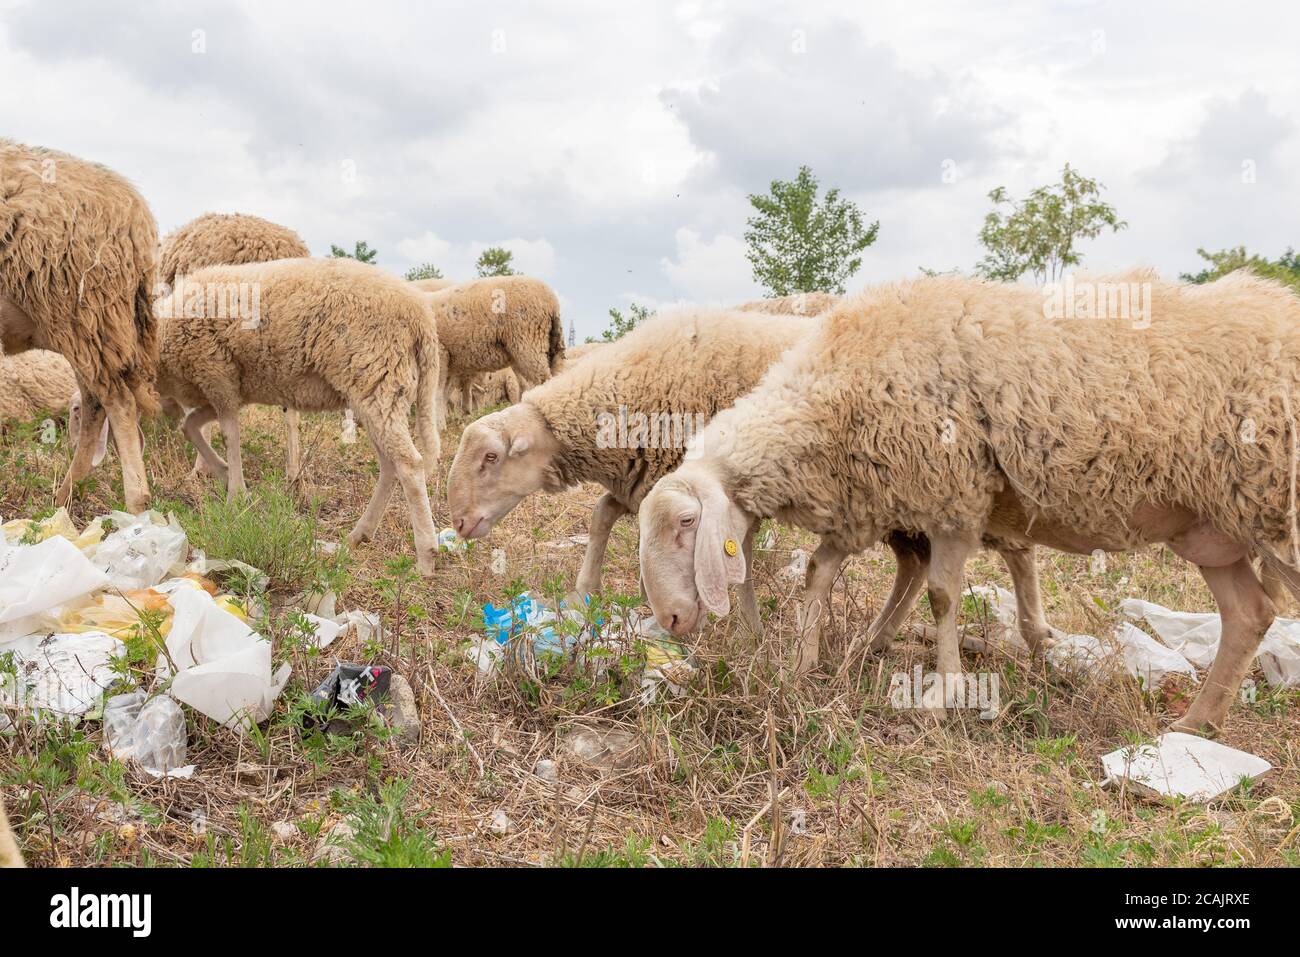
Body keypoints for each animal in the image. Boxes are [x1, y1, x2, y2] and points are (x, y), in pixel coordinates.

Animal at [1, 140, 159, 513]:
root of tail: (135, 215)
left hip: (80, 311)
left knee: (117, 402)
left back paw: (136, 501)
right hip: (84, 327)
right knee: (95, 404)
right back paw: (63, 498)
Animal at [154, 256, 444, 574]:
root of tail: (422, 317)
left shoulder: (218, 375)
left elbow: (229, 437)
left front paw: (236, 496)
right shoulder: (226, 391)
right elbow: (190, 425)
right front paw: (224, 473)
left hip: (378, 377)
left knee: (409, 464)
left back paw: (426, 557)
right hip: (377, 392)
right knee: (390, 466)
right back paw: (359, 535)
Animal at [424, 276, 565, 424]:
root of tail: (552, 301)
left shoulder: (440, 354)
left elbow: (438, 393)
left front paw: (439, 423)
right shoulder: (450, 363)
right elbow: (444, 393)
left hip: (529, 343)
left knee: (543, 382)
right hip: (545, 348)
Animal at [447, 306, 1056, 655]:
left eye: (489, 459)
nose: (458, 523)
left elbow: (731, 564)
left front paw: (748, 634)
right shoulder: (646, 477)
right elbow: (601, 517)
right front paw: (583, 593)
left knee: (1016, 552)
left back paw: (1035, 632)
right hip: (895, 502)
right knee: (916, 563)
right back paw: (879, 640)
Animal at [638, 270, 1300, 733]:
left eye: (687, 522)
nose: (670, 620)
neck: (827, 404)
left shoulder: (952, 496)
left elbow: (940, 594)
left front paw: (943, 693)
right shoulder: (871, 497)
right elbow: (819, 570)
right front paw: (802, 665)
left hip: (1274, 511)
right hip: (1215, 527)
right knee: (1249, 614)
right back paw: (1196, 723)